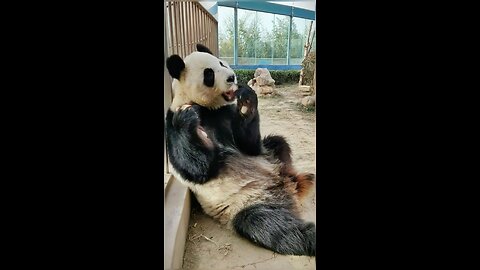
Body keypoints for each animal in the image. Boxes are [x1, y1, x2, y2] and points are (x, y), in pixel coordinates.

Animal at [165, 43, 316, 255]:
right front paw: (186, 119)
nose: (231, 78)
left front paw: (246, 102)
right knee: (272, 226)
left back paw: (295, 175)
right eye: (209, 74)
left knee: (277, 143)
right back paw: (309, 234)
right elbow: (198, 169)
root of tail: (286, 188)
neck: (207, 108)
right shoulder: (172, 122)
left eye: (221, 63)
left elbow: (249, 145)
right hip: (245, 205)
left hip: (270, 157)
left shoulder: (225, 114)